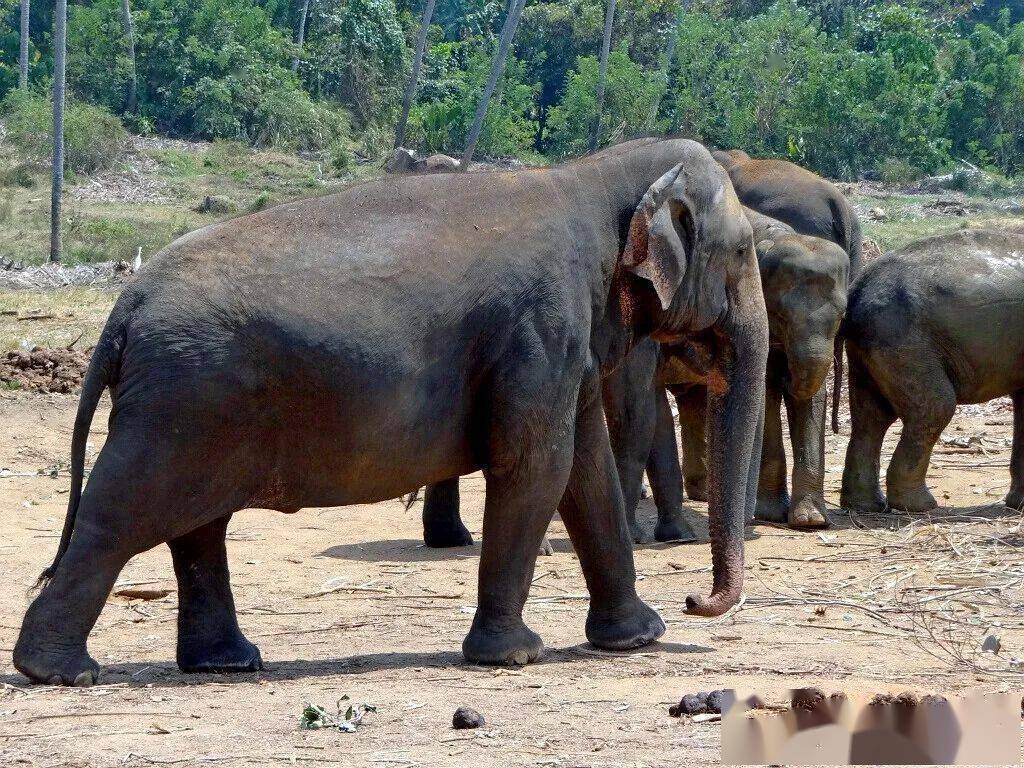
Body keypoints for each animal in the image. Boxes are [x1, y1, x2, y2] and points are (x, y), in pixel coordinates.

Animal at [14, 137, 769, 686]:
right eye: (740, 252)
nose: (697, 601)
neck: (592, 175)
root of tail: (124, 306)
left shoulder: (564, 351)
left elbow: (586, 476)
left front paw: (638, 637)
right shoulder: (539, 330)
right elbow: (536, 469)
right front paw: (516, 655)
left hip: (194, 404)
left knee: (197, 528)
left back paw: (226, 662)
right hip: (182, 402)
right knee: (121, 516)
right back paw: (61, 673)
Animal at [616, 208, 850, 541]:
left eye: (841, 317)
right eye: (780, 315)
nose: (748, 521)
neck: (778, 237)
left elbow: (810, 397)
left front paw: (811, 520)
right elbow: (766, 394)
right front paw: (772, 514)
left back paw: (704, 493)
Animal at [840, 228, 1024, 514]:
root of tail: (857, 287)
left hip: (868, 349)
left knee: (871, 417)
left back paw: (866, 505)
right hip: (904, 343)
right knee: (933, 408)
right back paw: (919, 506)